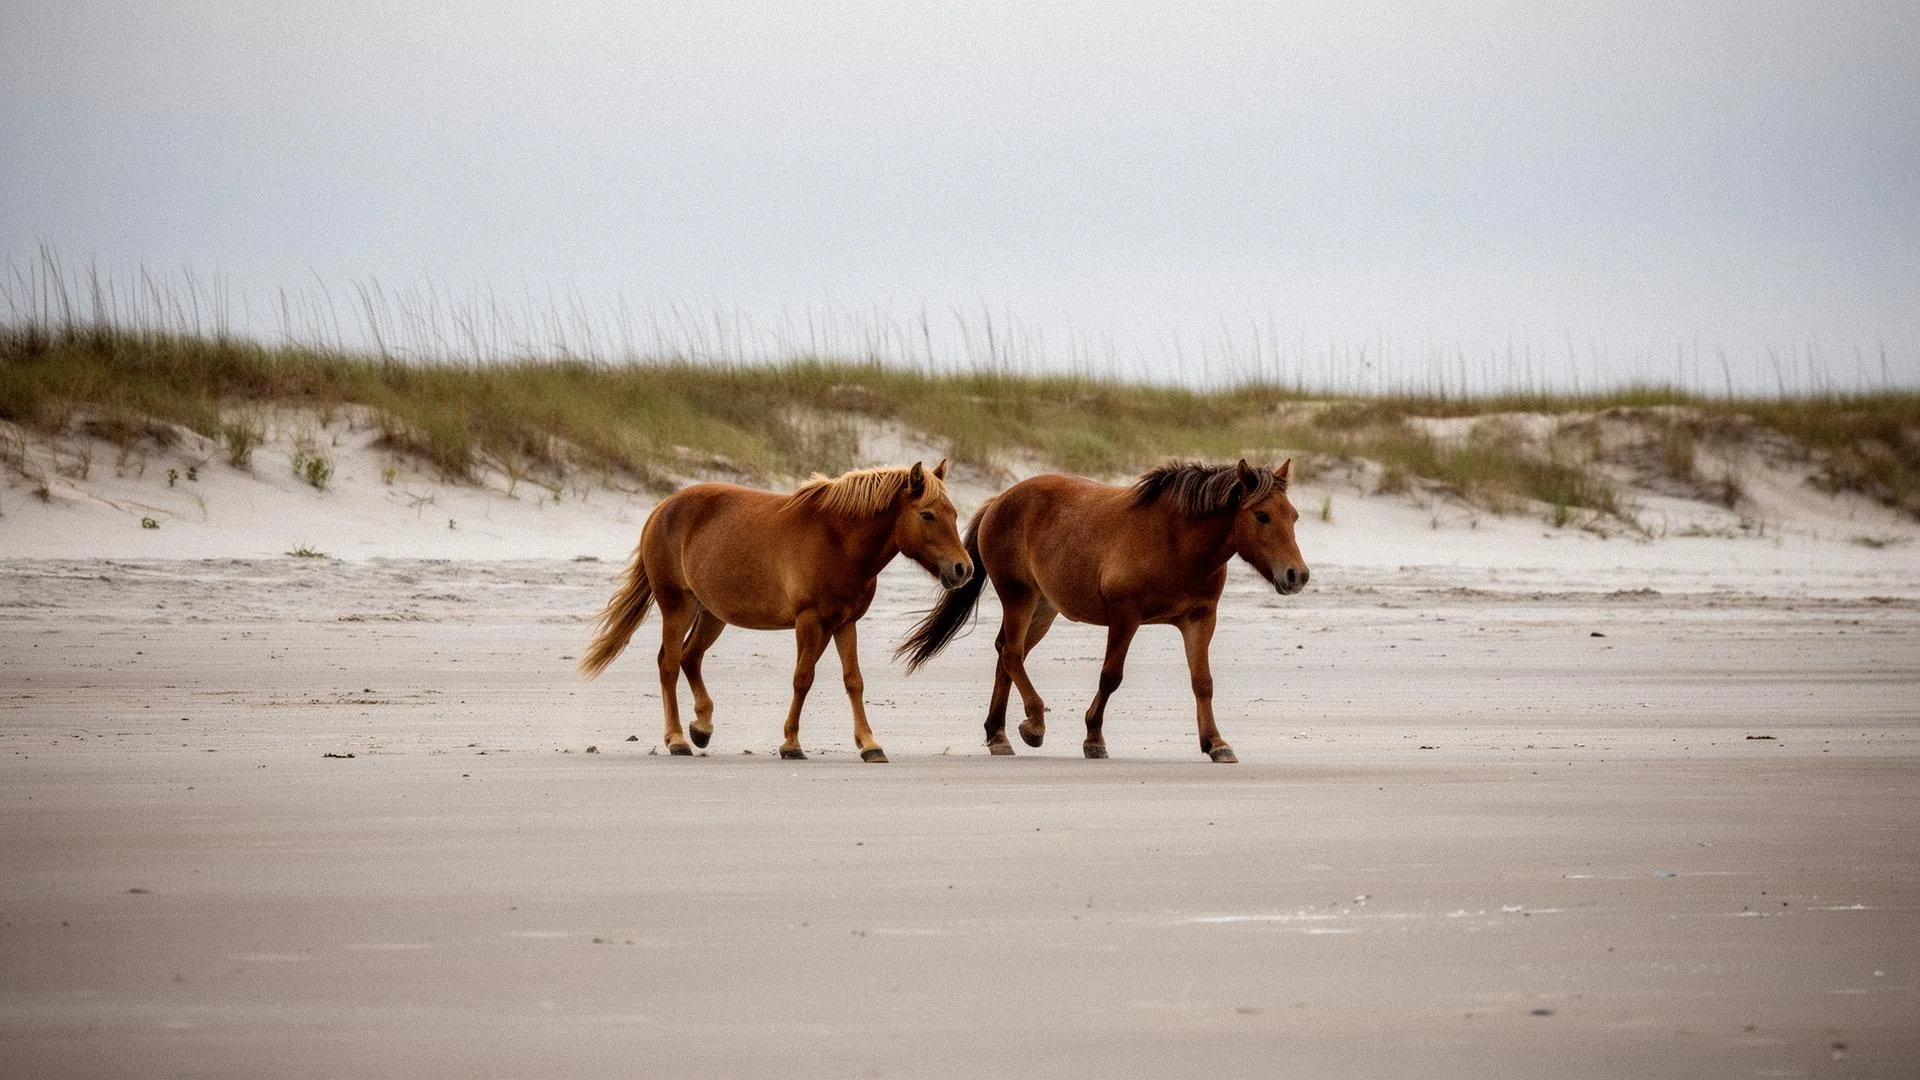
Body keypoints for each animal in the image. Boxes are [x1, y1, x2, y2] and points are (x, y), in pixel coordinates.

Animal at [581, 460, 971, 763]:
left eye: (953, 513)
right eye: (928, 515)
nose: (963, 569)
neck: (838, 541)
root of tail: (661, 508)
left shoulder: (845, 623)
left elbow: (853, 681)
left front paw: (870, 744)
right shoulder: (809, 621)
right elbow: (803, 678)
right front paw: (791, 743)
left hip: (712, 614)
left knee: (690, 658)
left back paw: (702, 728)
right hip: (677, 606)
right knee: (670, 664)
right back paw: (677, 739)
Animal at [897, 460, 1308, 763]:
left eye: (1294, 516)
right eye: (1262, 516)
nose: (1297, 575)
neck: (1177, 541)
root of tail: (1000, 499)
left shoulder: (1200, 618)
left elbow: (1202, 682)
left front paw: (1216, 743)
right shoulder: (1125, 615)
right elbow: (1111, 676)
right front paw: (1094, 738)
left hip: (1043, 608)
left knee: (1007, 656)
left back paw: (998, 734)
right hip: (1019, 597)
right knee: (1011, 654)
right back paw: (1034, 725)